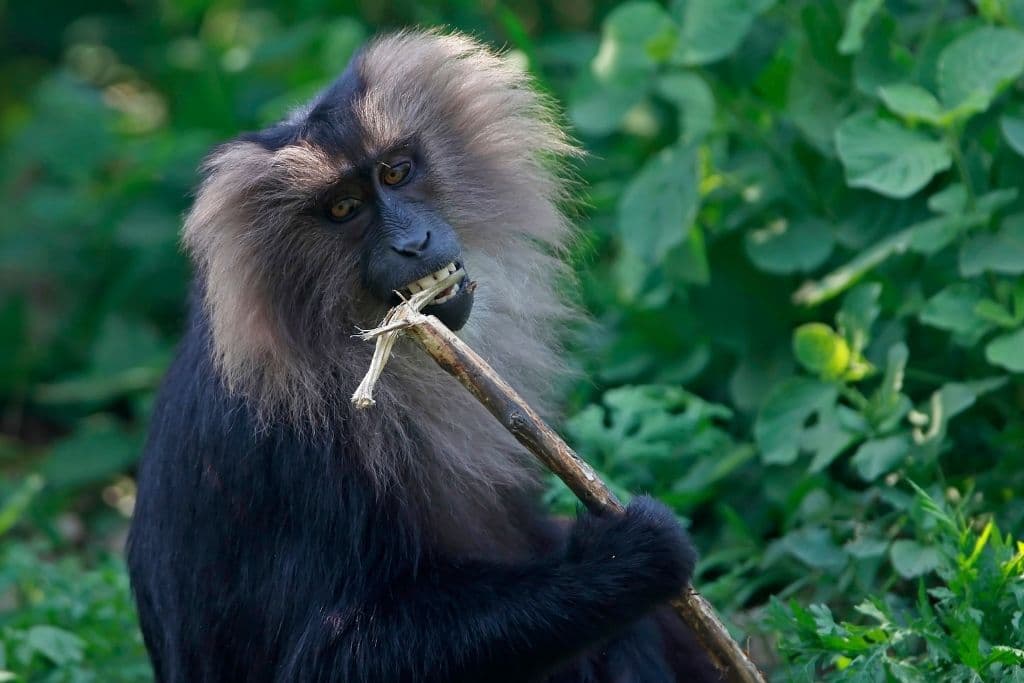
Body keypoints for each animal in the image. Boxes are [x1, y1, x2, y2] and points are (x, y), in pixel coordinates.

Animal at [128, 29, 720, 679]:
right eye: (344, 208)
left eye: (397, 172)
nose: (413, 244)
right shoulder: (294, 457)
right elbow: (331, 658)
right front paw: (628, 556)